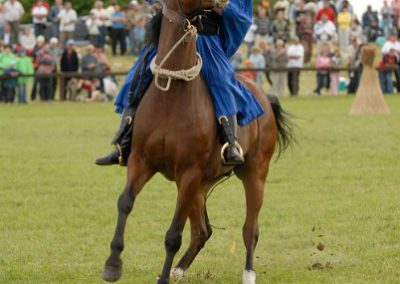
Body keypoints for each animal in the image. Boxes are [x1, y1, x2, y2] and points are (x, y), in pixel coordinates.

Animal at [102, 0, 294, 284]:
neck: (171, 92)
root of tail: (264, 97)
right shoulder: (140, 161)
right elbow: (124, 202)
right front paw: (113, 264)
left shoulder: (189, 172)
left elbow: (173, 235)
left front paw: (161, 279)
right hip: (201, 184)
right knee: (202, 230)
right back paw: (179, 268)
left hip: (253, 173)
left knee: (250, 229)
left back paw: (248, 273)